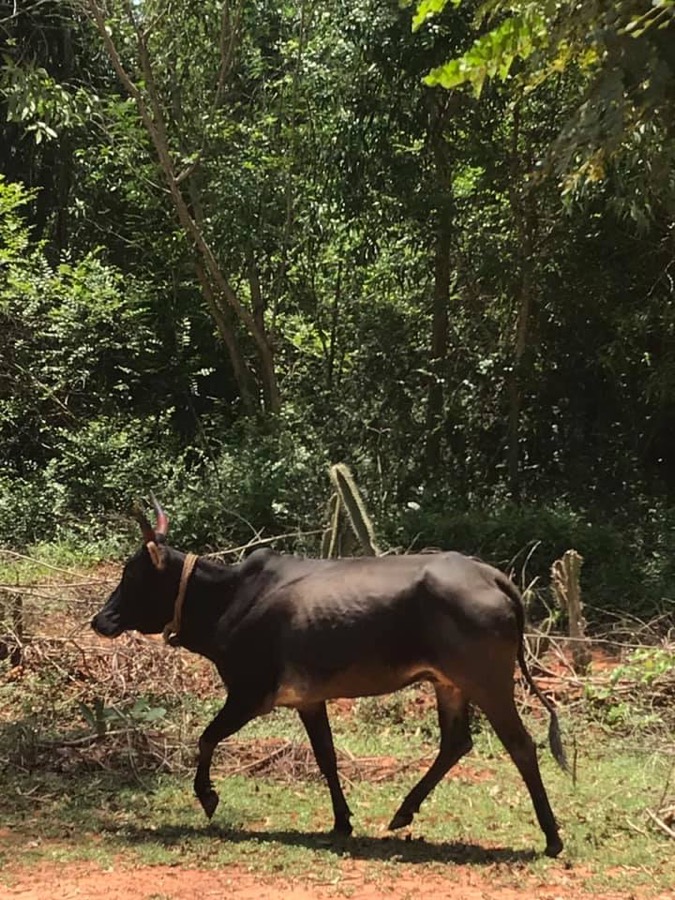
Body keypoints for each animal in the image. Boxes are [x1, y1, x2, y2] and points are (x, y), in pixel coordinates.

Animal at [91, 497, 567, 858]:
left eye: (133, 575)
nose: (101, 620)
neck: (230, 599)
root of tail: (492, 575)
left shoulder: (249, 693)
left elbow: (207, 738)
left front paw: (208, 796)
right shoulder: (307, 699)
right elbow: (327, 757)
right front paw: (342, 821)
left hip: (488, 682)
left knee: (521, 745)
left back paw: (552, 837)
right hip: (448, 684)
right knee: (456, 743)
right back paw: (403, 812)